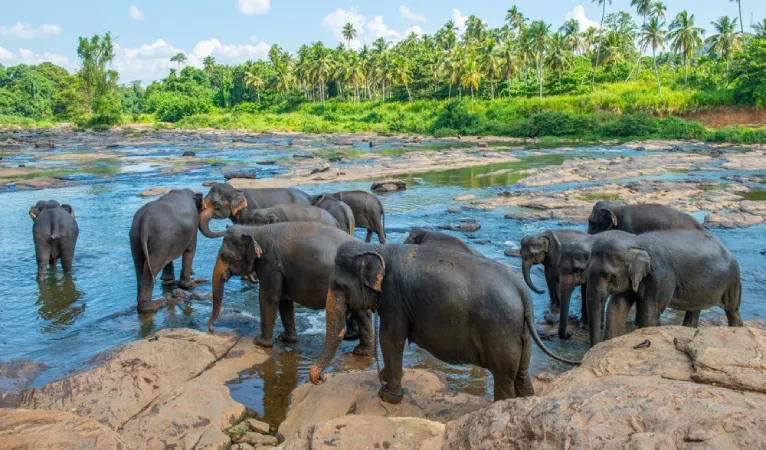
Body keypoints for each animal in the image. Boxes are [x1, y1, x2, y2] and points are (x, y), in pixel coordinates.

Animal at [208, 222, 374, 355]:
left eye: (225, 256)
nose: (211, 330)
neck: (255, 229)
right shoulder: (283, 271)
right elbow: (285, 300)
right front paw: (286, 339)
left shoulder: (271, 265)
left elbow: (269, 298)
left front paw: (260, 342)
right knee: (362, 312)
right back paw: (360, 349)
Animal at [308, 242, 580, 404]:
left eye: (340, 286)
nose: (320, 380)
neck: (376, 249)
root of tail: (522, 291)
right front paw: (384, 379)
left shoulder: (394, 297)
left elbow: (390, 339)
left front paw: (386, 396)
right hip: (522, 331)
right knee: (521, 374)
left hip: (501, 330)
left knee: (504, 378)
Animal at [585, 230, 742, 346]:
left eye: (607, 275)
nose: (583, 359)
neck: (636, 242)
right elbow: (617, 308)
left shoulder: (661, 276)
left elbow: (649, 314)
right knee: (694, 310)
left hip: (732, 280)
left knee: (732, 310)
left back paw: (737, 329)